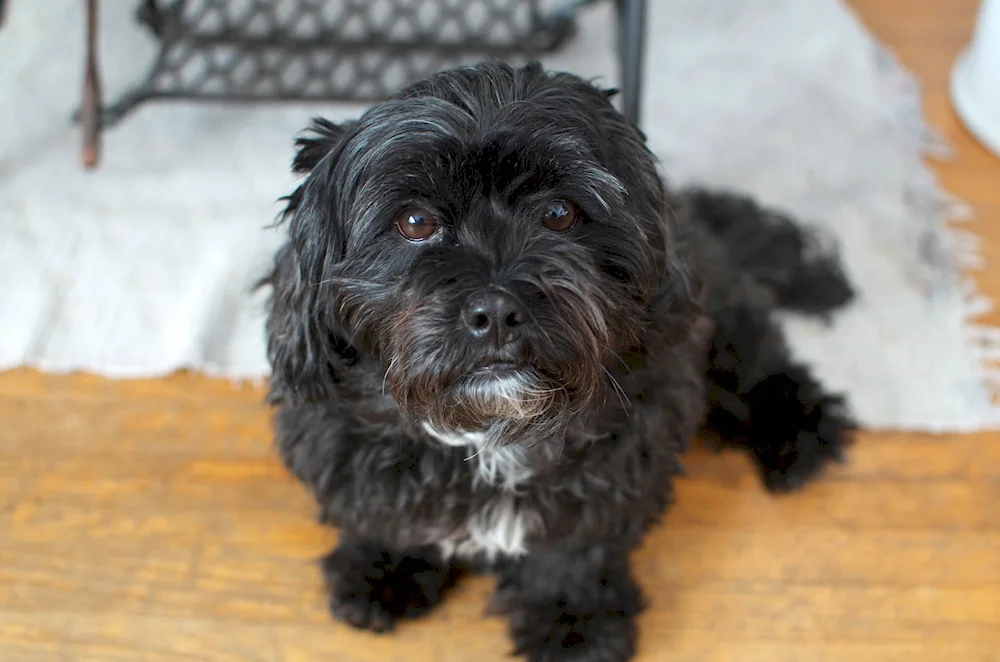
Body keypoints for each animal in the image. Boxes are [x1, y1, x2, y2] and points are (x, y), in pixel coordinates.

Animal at [262, 59, 856, 660]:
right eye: (414, 222)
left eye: (558, 212)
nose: (497, 310)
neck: (491, 436)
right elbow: (387, 512)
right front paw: (385, 567)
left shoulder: (616, 463)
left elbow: (573, 551)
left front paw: (574, 625)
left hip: (721, 322)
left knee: (762, 362)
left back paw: (797, 429)